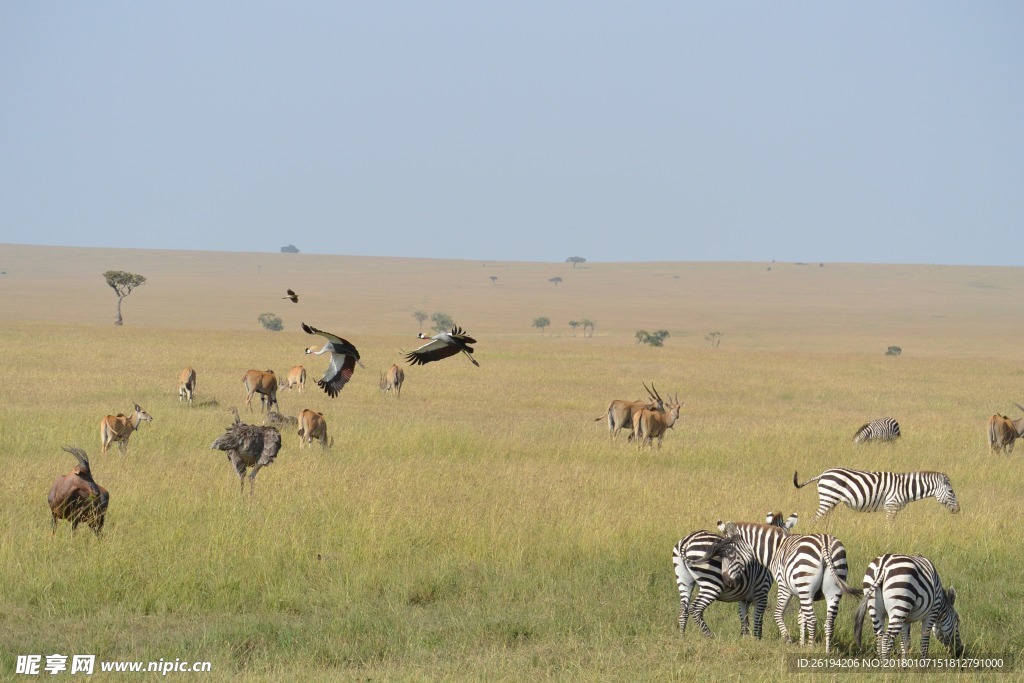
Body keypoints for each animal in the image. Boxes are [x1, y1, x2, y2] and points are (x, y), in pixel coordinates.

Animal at [671, 511, 798, 643]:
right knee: (695, 608)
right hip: (712, 583)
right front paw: (757, 640)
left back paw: (682, 638)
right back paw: (711, 637)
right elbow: (758, 618)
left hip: (684, 581)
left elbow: (744, 617)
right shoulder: (761, 592)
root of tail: (685, 542)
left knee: (683, 609)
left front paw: (745, 638)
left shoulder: (743, 598)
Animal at [716, 518, 860, 651]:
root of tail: (825, 543)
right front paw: (801, 644)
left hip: (805, 586)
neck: (776, 550)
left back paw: (810, 650)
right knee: (829, 622)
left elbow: (778, 614)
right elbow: (801, 618)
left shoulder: (784, 586)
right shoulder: (803, 594)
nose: (727, 581)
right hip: (832, 589)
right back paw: (826, 652)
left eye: (729, 554)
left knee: (813, 620)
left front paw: (788, 639)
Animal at [790, 471, 958, 524]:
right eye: (951, 491)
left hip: (831, 501)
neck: (905, 488)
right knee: (814, 519)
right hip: (828, 498)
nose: (958, 510)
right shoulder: (891, 506)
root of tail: (823, 474)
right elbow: (889, 527)